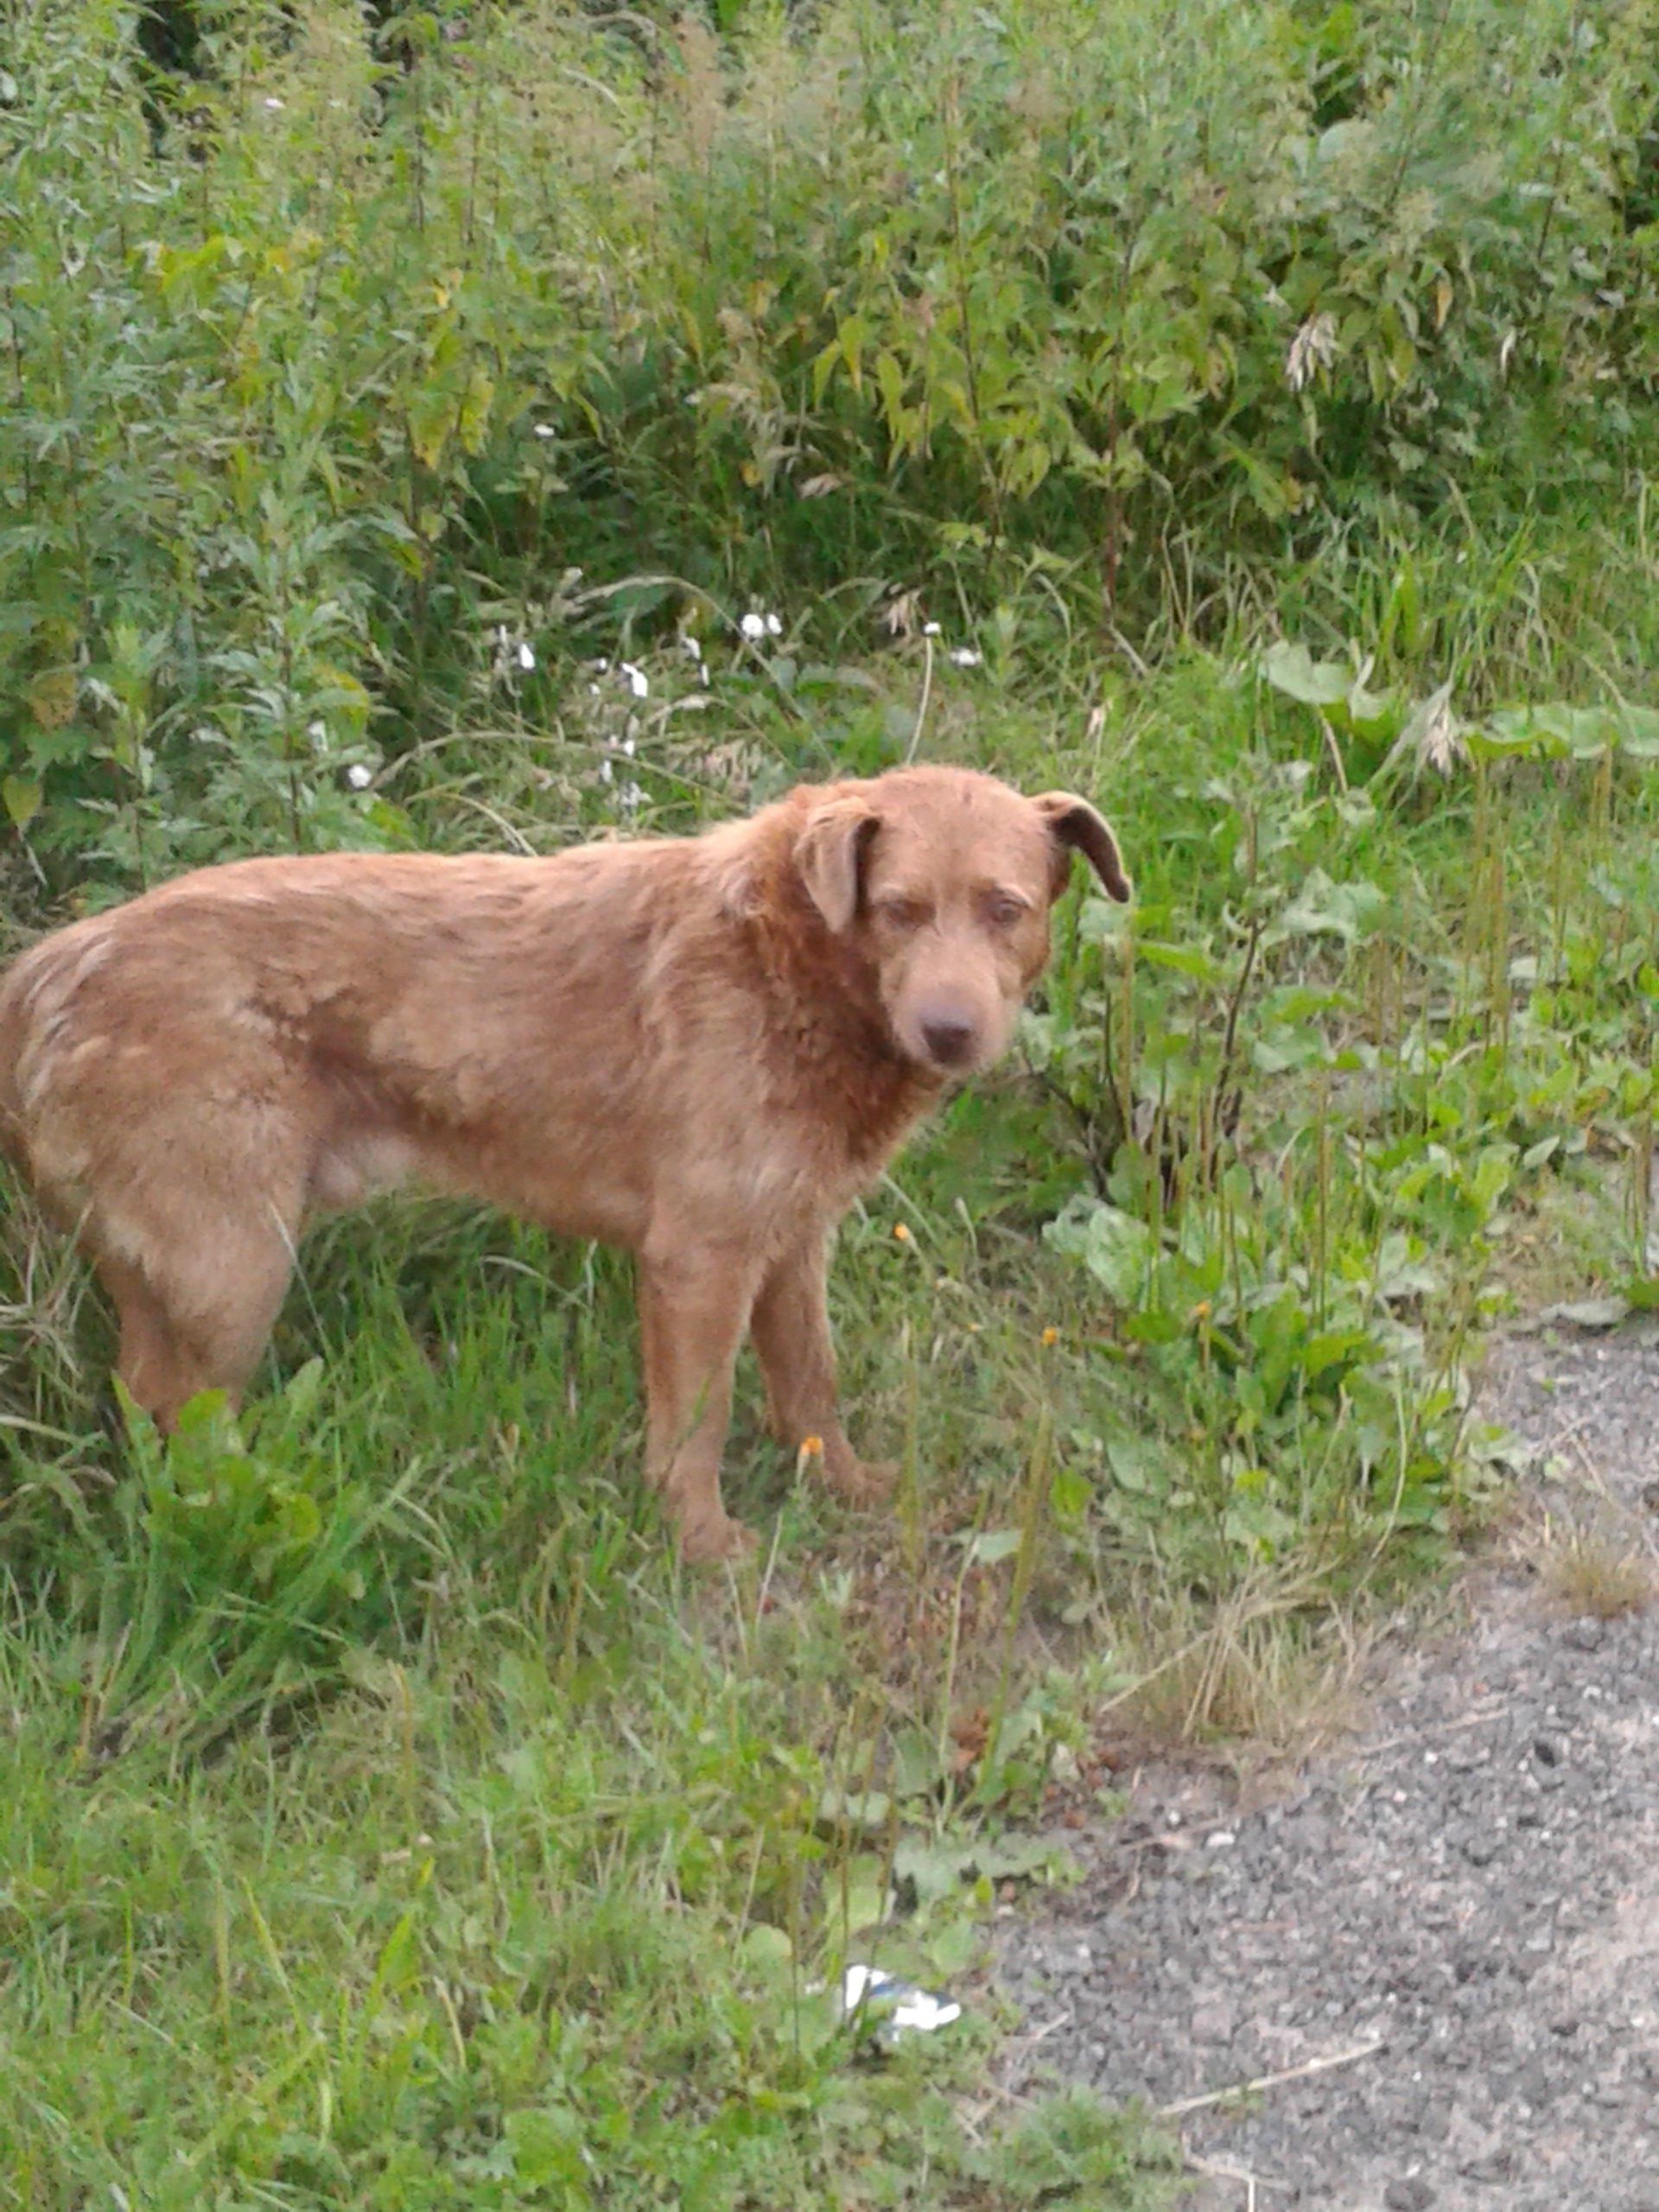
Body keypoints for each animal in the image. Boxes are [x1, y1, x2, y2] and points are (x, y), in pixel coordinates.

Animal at [0, 769, 1132, 1566]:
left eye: (1006, 907)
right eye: (898, 908)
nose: (951, 1031)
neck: (791, 960)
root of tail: (42, 970)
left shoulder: (790, 1241)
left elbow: (811, 1387)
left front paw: (848, 1489)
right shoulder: (697, 1259)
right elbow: (697, 1422)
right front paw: (702, 1545)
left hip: (165, 1271)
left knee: (140, 1399)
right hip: (234, 1266)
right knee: (180, 1412)